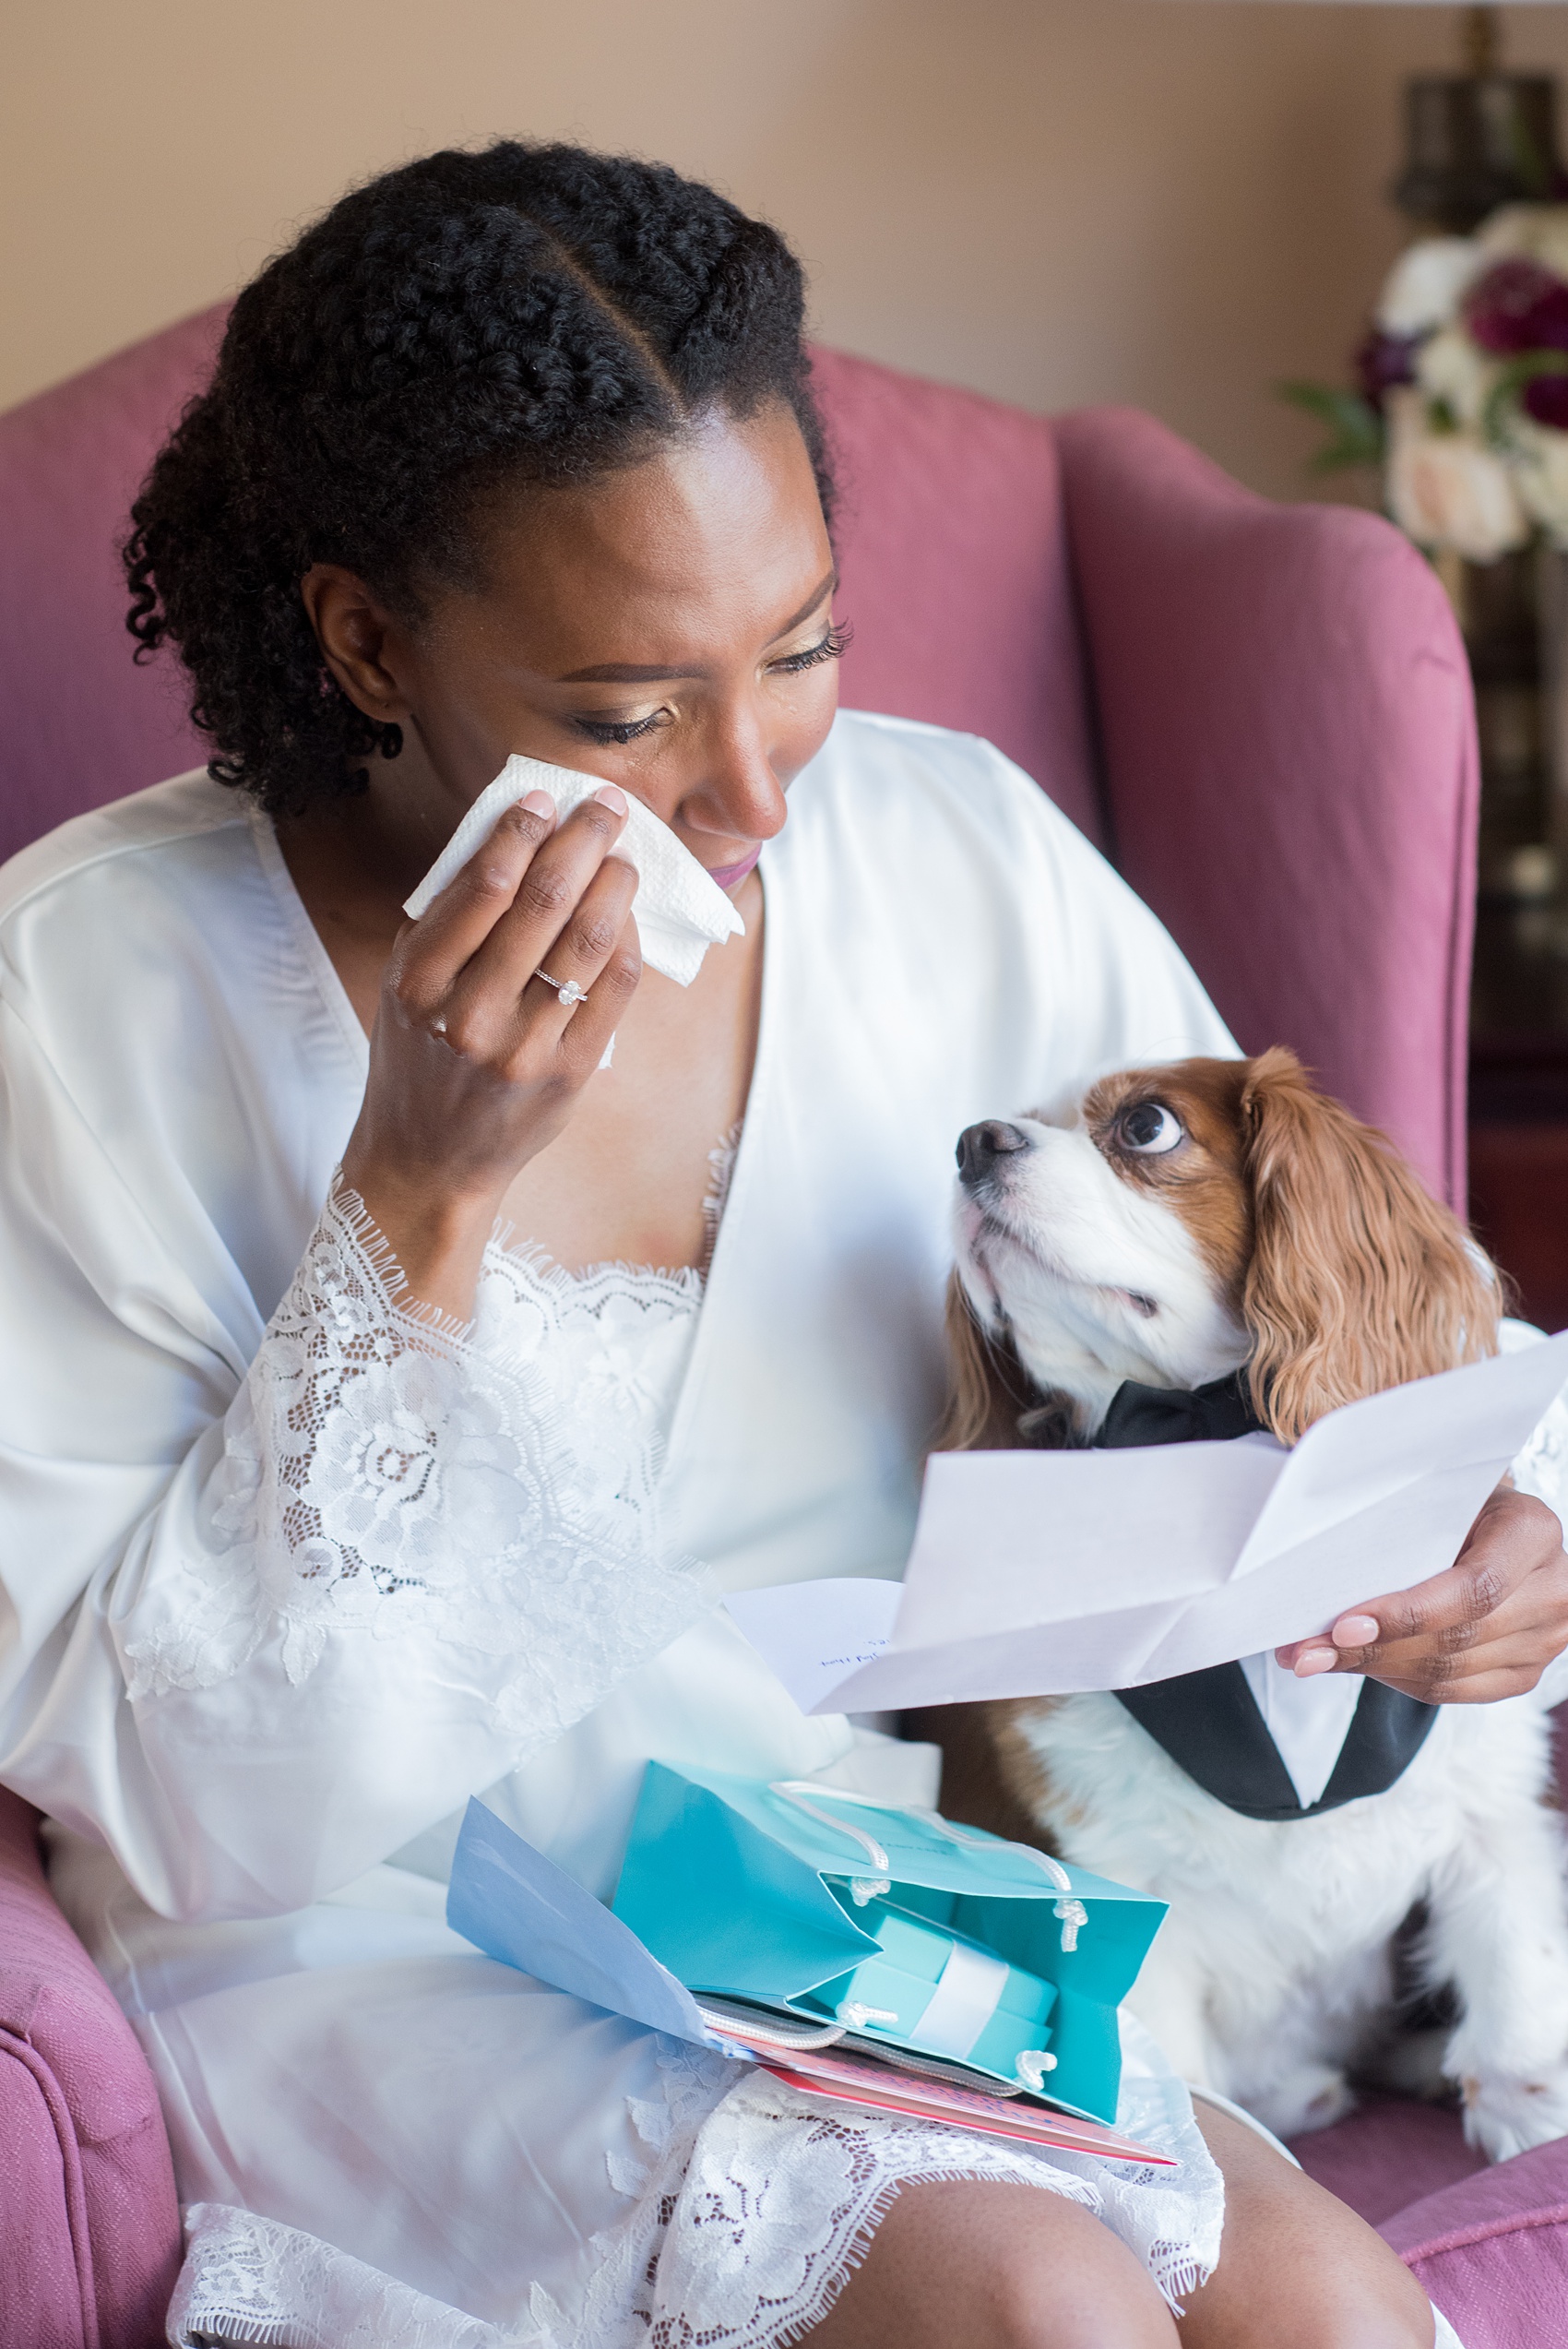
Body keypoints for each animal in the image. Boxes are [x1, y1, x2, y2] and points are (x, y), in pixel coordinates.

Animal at [938, 1056, 1568, 2152]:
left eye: (1145, 1125)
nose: (975, 1140)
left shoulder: (1491, 1808)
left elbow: (1515, 1994)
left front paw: (1529, 2124)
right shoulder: (1126, 1890)